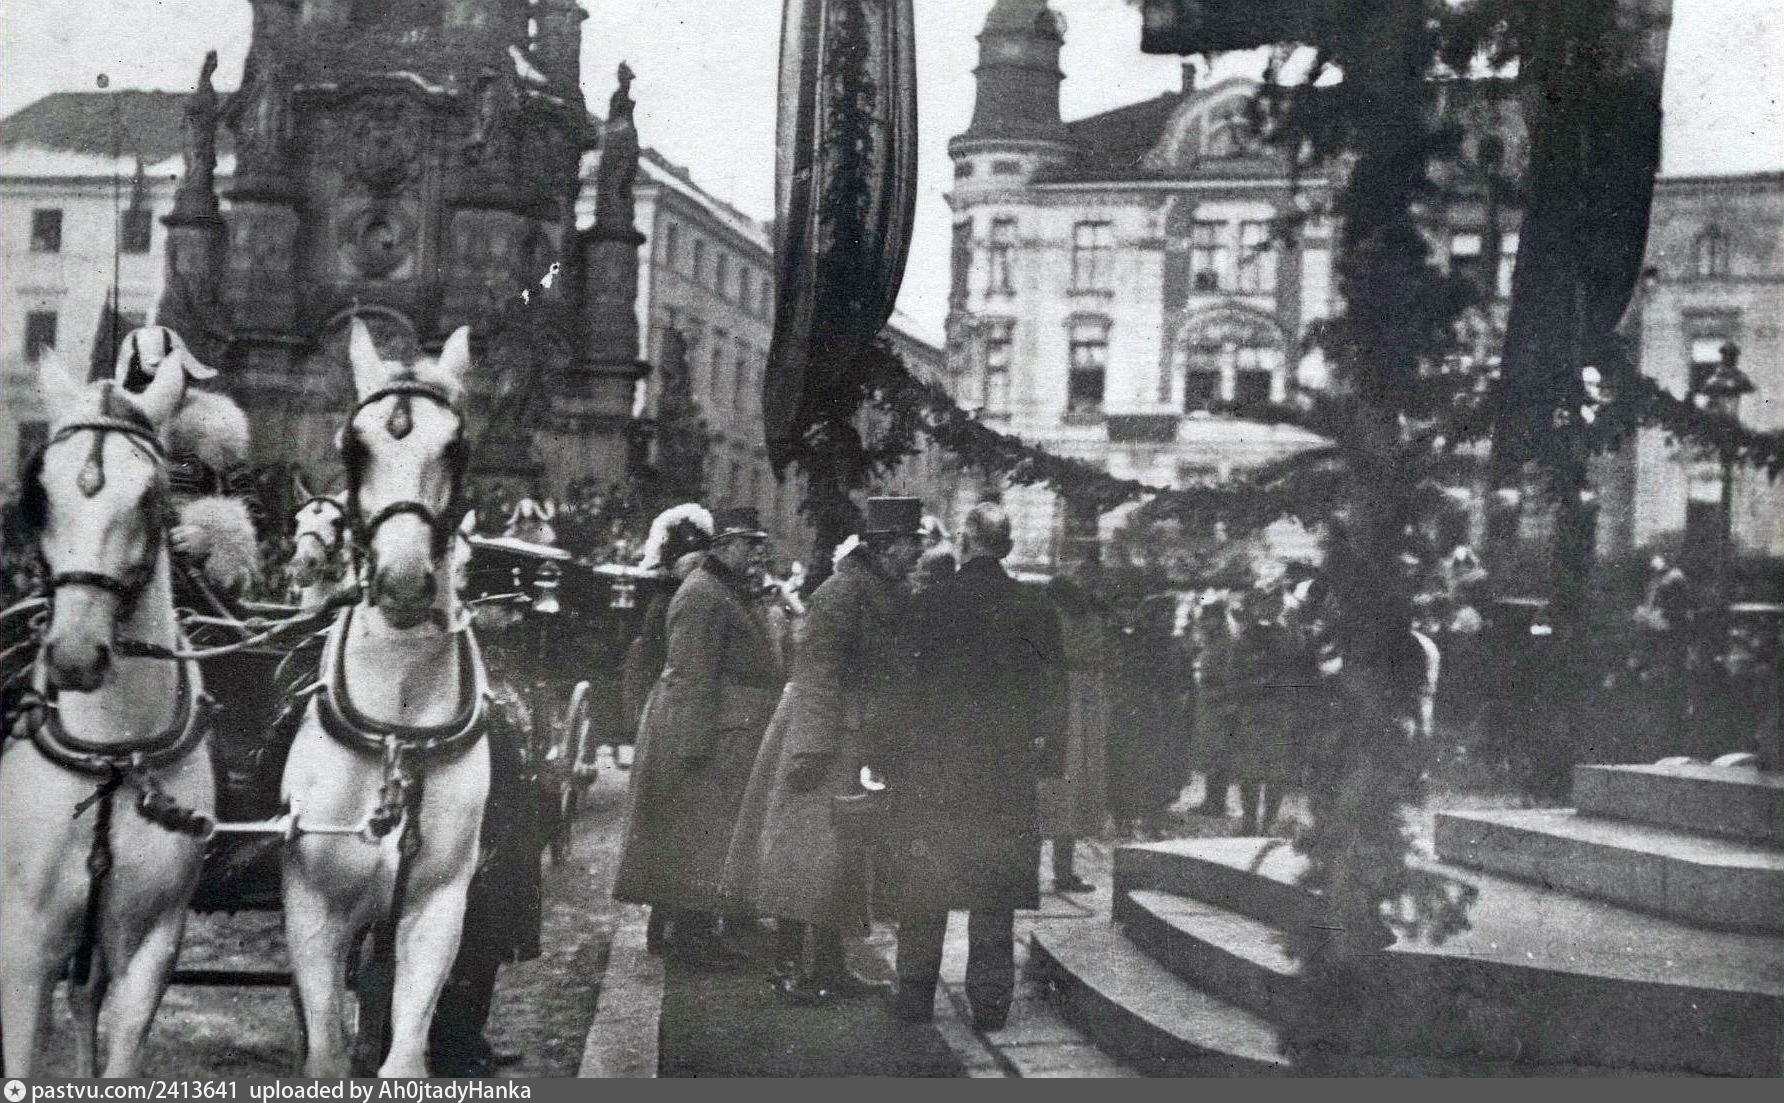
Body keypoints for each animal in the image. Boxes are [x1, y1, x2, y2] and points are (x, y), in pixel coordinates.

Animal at [1, 352, 212, 1076]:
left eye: (150, 496)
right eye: (41, 493)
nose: (74, 655)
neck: (113, 754)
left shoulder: (153, 943)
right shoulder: (23, 942)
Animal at [279, 320, 490, 1078]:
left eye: (455, 445)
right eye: (353, 445)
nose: (402, 582)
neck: (397, 728)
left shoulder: (439, 905)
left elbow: (404, 1051)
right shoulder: (311, 907)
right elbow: (324, 1052)